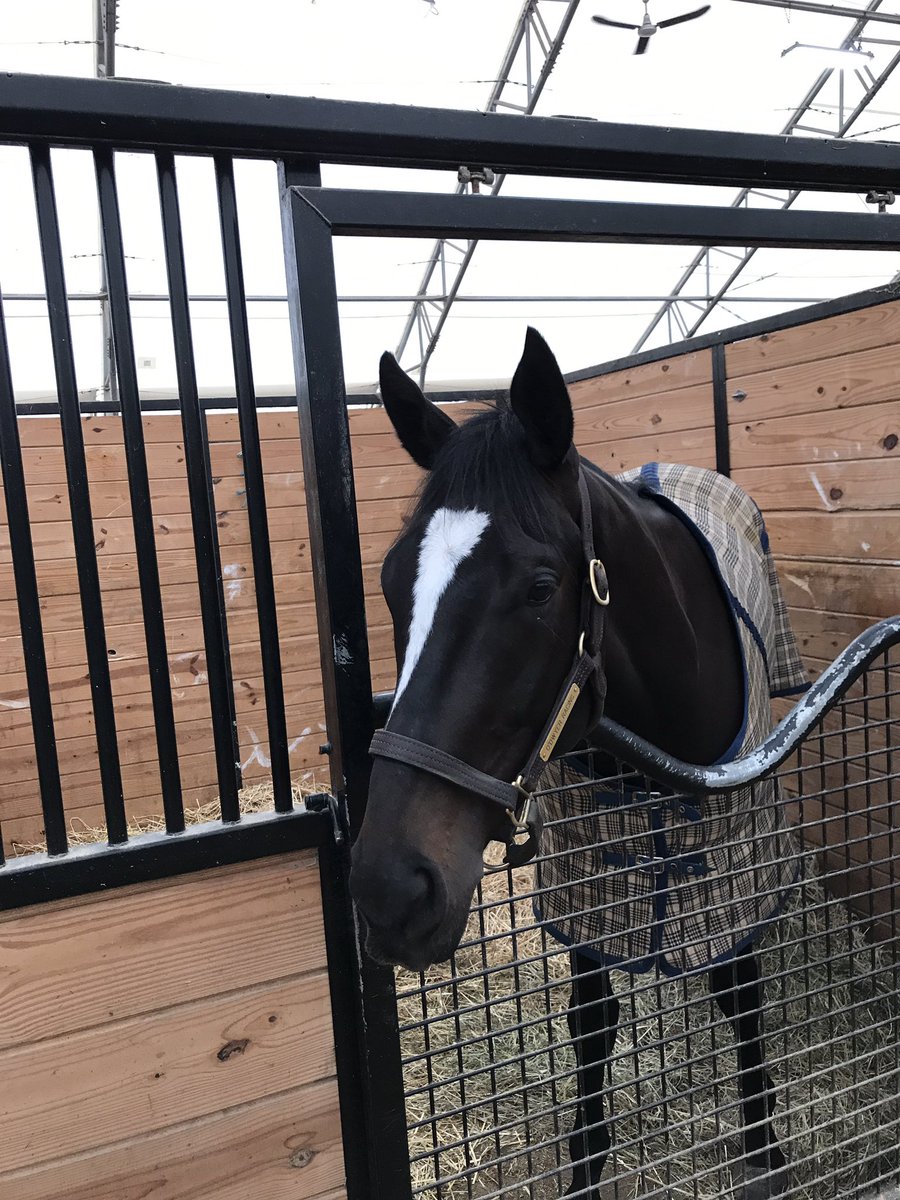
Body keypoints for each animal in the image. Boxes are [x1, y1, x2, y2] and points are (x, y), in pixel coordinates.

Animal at [349, 328, 807, 1199]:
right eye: (391, 582)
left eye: (539, 587)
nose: (390, 889)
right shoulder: (588, 885)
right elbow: (591, 1023)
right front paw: (587, 1170)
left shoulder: (734, 859)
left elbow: (741, 990)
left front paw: (765, 1148)